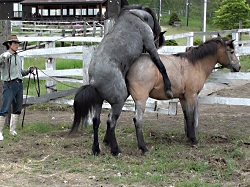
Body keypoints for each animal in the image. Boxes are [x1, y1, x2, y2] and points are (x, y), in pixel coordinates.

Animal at [70, 5, 172, 156]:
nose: (161, 41)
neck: (136, 16)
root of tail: (94, 82)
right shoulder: (149, 44)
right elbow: (161, 66)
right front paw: (168, 88)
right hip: (119, 100)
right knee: (111, 121)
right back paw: (115, 149)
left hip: (99, 103)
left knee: (96, 121)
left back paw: (97, 148)